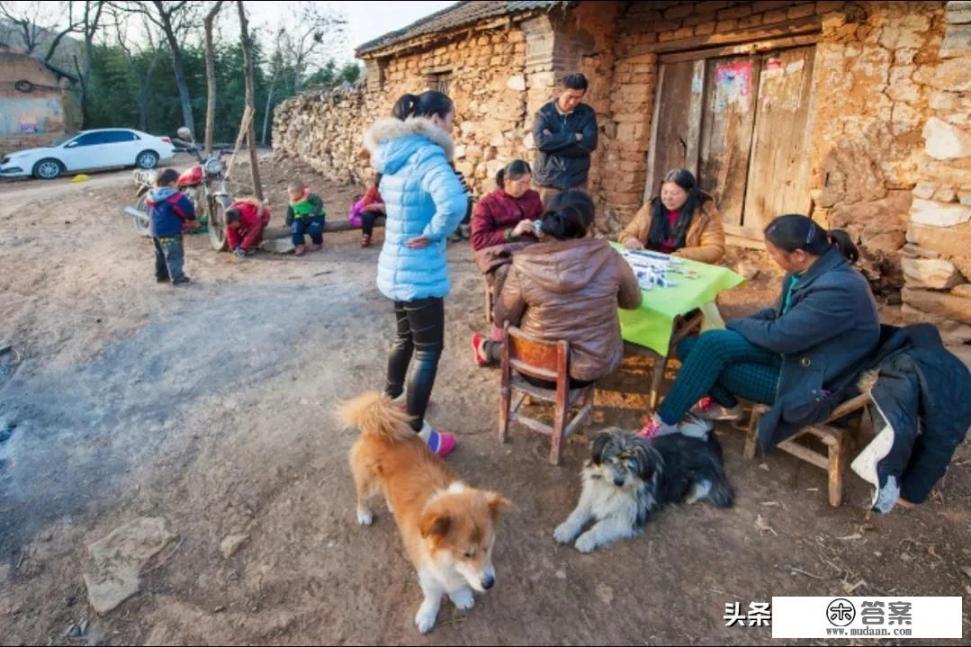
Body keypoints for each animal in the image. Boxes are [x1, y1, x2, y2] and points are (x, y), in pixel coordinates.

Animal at [340, 392, 512, 636]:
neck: (445, 559)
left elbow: (457, 584)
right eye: (466, 554)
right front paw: (428, 614)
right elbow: (433, 595)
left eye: (488, 547)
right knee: (361, 497)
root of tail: (378, 426)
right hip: (367, 482)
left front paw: (460, 596)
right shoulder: (427, 571)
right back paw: (364, 514)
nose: (489, 583)